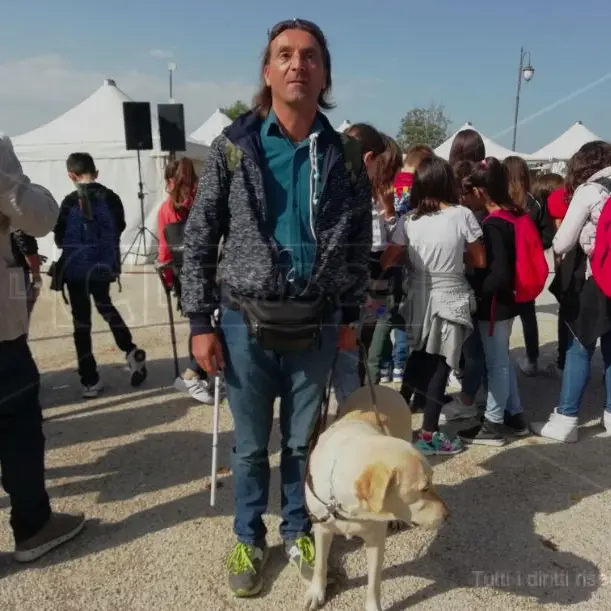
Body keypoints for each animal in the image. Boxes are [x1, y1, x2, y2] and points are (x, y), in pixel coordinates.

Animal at [304, 388, 448, 611]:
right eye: (424, 488)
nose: (448, 515)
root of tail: (384, 388)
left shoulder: (376, 539)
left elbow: (373, 582)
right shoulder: (322, 528)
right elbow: (320, 564)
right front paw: (316, 592)